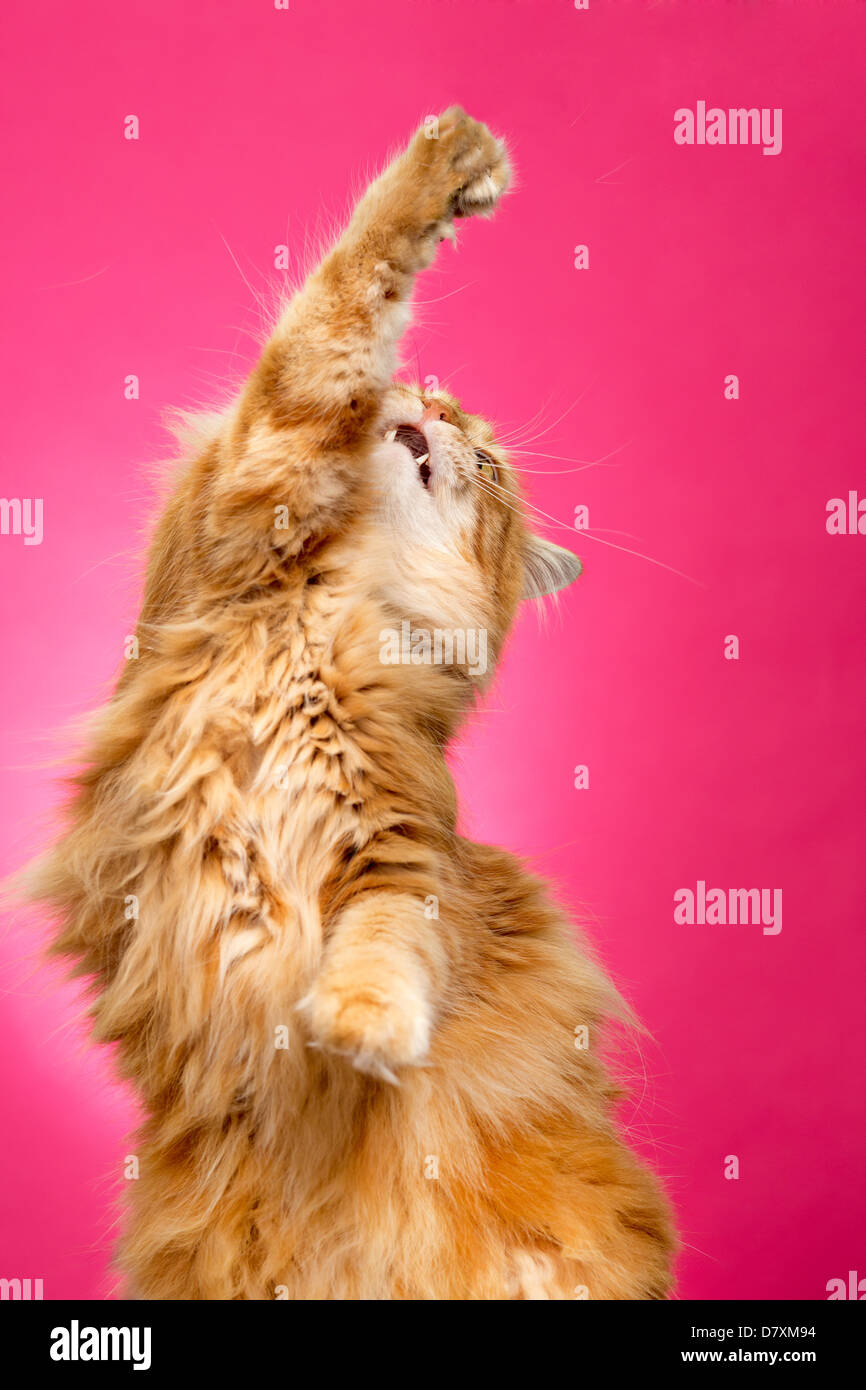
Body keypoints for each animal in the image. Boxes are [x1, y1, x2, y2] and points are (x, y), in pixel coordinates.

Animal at [27, 111, 678, 1301]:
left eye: (489, 459)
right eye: (423, 386)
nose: (436, 405)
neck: (335, 612)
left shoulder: (398, 855)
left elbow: (383, 956)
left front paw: (356, 1030)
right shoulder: (255, 480)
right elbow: (346, 298)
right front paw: (452, 168)